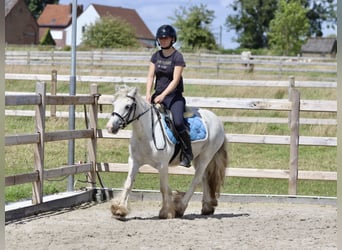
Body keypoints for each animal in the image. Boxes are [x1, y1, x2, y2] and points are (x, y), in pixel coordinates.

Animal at [105, 86, 227, 219]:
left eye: (127, 106)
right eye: (114, 104)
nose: (110, 127)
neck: (147, 134)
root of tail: (216, 119)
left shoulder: (162, 165)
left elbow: (163, 188)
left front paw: (166, 212)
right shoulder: (134, 161)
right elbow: (128, 184)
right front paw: (119, 209)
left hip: (206, 156)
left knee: (196, 180)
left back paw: (180, 208)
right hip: (198, 157)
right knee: (204, 177)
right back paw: (207, 208)